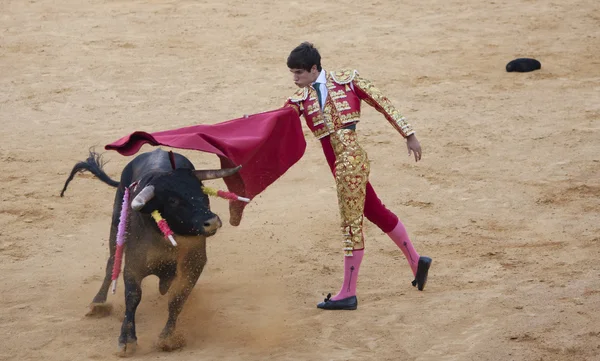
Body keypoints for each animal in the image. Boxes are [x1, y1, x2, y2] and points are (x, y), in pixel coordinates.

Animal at [59, 149, 239, 354]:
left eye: (202, 191)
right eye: (173, 200)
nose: (212, 222)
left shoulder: (193, 263)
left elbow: (177, 299)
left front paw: (167, 338)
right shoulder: (133, 264)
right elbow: (133, 296)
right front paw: (127, 340)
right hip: (116, 223)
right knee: (112, 261)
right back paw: (98, 303)